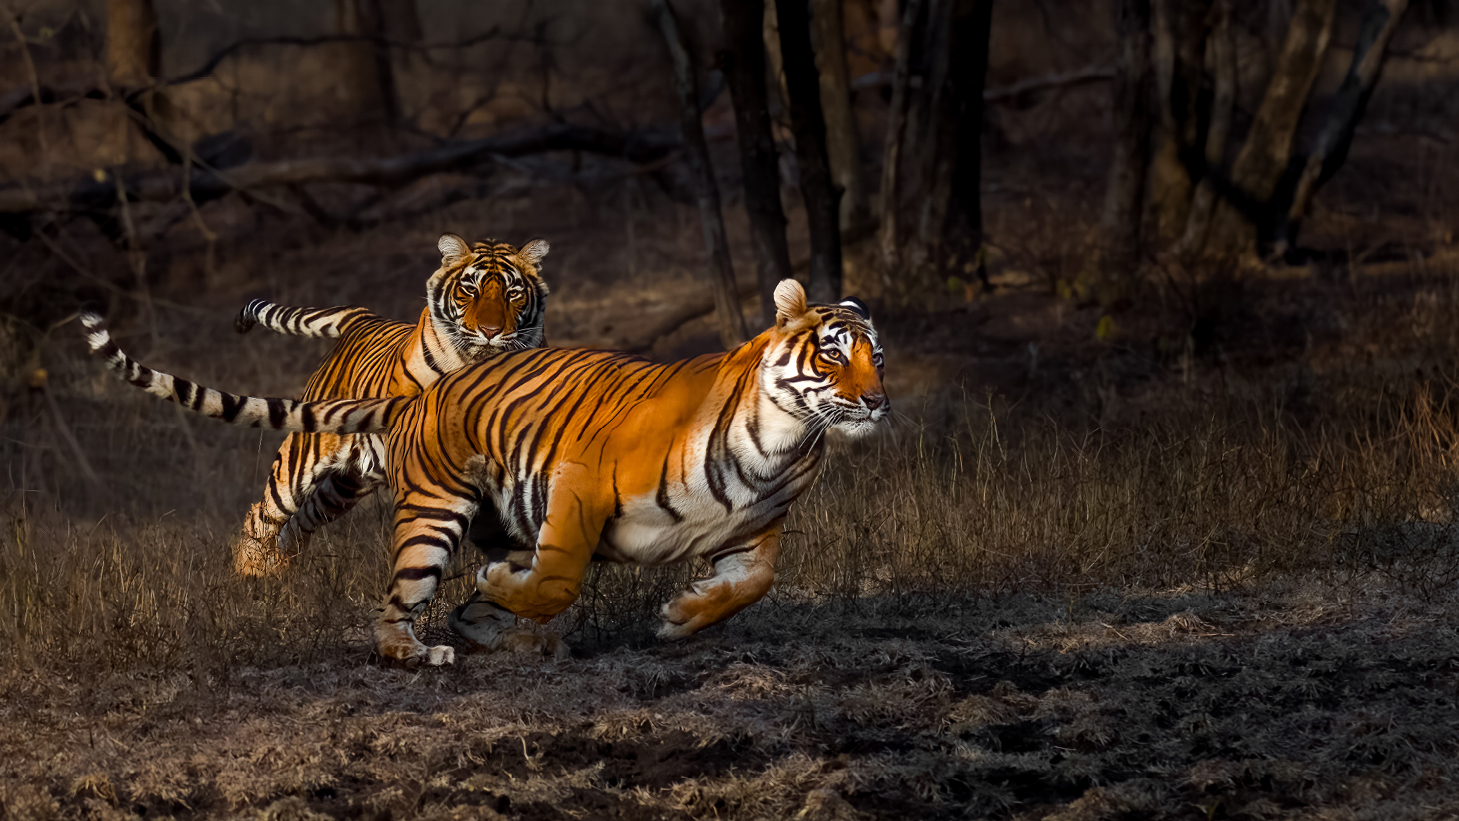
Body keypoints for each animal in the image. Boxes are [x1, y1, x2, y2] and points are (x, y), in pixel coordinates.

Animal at [82, 279, 887, 664]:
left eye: (878, 355)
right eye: (832, 354)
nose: (877, 399)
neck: (781, 443)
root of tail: (419, 394)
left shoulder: (757, 530)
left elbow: (755, 582)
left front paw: (680, 616)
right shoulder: (580, 483)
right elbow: (558, 576)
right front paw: (515, 589)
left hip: (424, 499)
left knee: (457, 604)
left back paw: (513, 634)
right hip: (420, 509)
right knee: (385, 600)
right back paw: (415, 647)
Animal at [230, 231, 548, 577]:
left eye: (513, 293)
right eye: (469, 290)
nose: (490, 332)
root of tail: (363, 317)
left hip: (344, 486)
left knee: (303, 519)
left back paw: (280, 570)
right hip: (305, 455)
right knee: (264, 514)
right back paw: (249, 573)